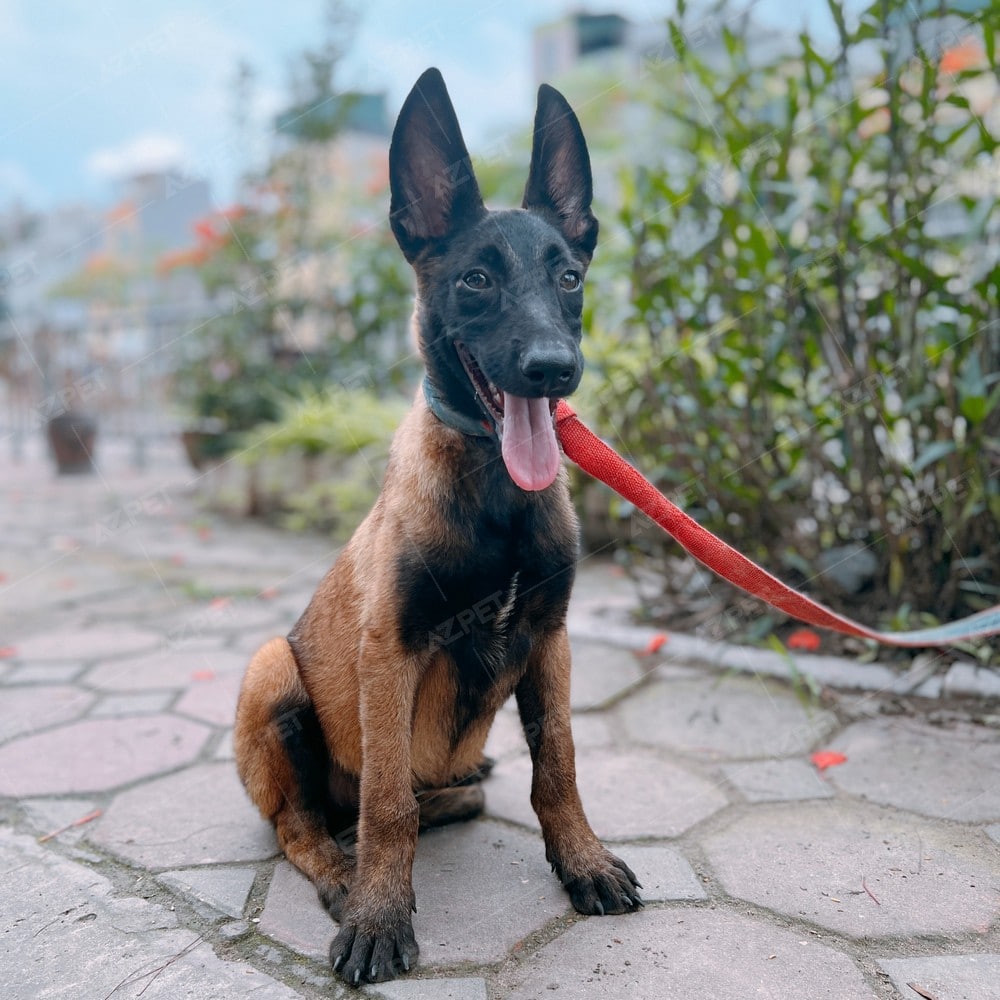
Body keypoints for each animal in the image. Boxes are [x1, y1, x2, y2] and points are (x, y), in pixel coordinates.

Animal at [234, 67, 641, 986]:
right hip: (270, 664)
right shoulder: (392, 651)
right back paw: (343, 872)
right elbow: (387, 804)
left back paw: (458, 787)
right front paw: (381, 914)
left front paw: (582, 862)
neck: (497, 493)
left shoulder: (550, 639)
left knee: (443, 792)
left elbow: (558, 768)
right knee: (304, 825)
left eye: (569, 278)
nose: (552, 368)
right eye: (477, 282)